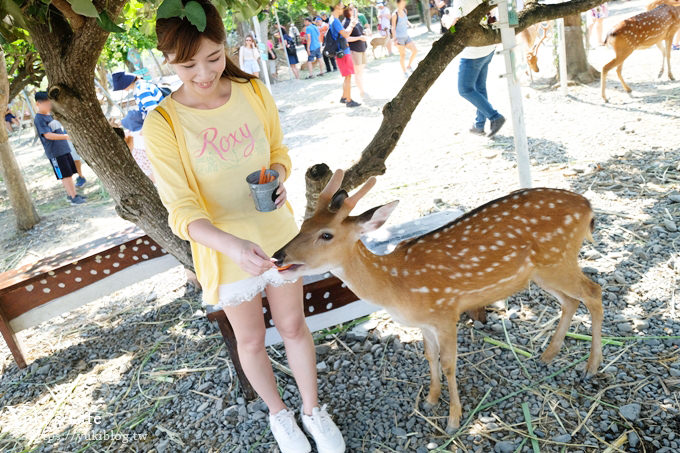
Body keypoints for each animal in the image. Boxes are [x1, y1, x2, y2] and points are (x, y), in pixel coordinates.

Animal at [274, 171, 604, 432]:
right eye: (302, 226)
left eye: (326, 235)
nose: (278, 255)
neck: (395, 286)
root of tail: (588, 207)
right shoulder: (424, 323)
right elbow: (429, 357)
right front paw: (431, 401)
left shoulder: (446, 312)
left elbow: (449, 364)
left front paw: (454, 420)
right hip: (542, 272)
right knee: (571, 301)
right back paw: (548, 356)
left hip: (558, 260)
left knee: (594, 293)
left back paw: (591, 368)